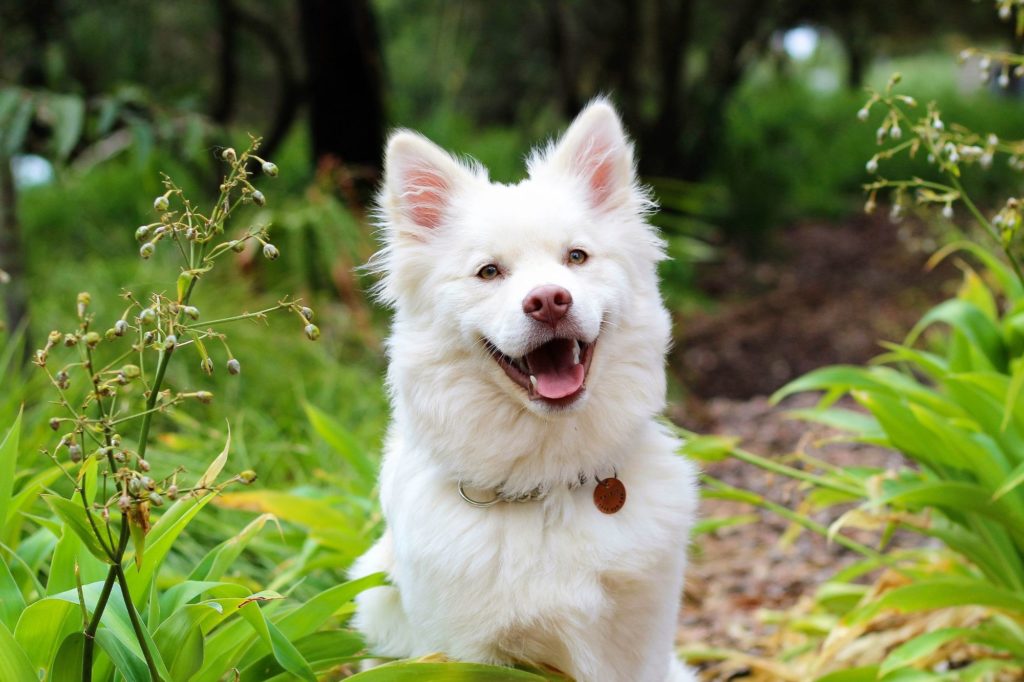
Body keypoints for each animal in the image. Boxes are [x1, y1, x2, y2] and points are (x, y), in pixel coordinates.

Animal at [350, 96, 696, 679]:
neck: (548, 484)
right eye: (489, 272)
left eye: (576, 257)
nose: (549, 300)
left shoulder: (640, 647)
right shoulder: (465, 653)